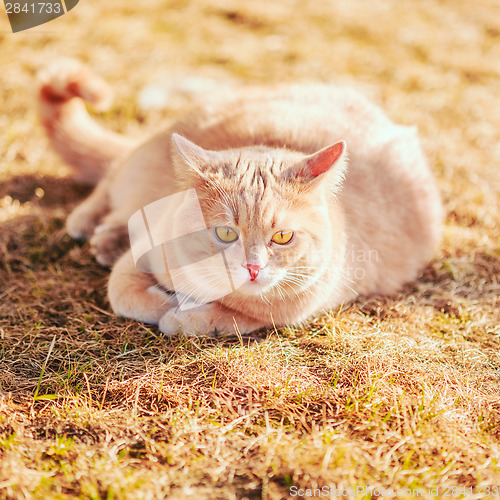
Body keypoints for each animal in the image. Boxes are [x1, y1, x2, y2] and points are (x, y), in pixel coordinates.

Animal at [40, 61, 446, 336]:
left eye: (283, 236)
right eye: (225, 233)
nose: (253, 267)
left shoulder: (290, 310)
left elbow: (229, 319)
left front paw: (186, 315)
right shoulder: (143, 249)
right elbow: (123, 291)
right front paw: (165, 302)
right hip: (143, 164)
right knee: (112, 178)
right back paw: (93, 226)